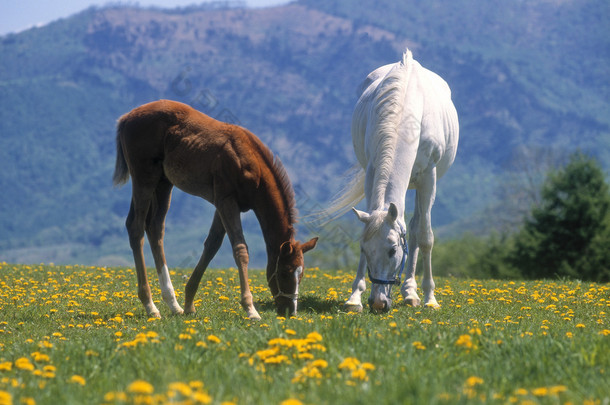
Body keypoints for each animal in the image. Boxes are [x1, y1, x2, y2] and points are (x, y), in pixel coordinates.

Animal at [324, 49, 456, 310]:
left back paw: (412, 292)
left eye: (393, 251)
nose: (378, 303)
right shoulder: (371, 171)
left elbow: (425, 237)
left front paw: (430, 298)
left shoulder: (428, 177)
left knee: (415, 230)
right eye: (364, 249)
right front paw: (354, 298)